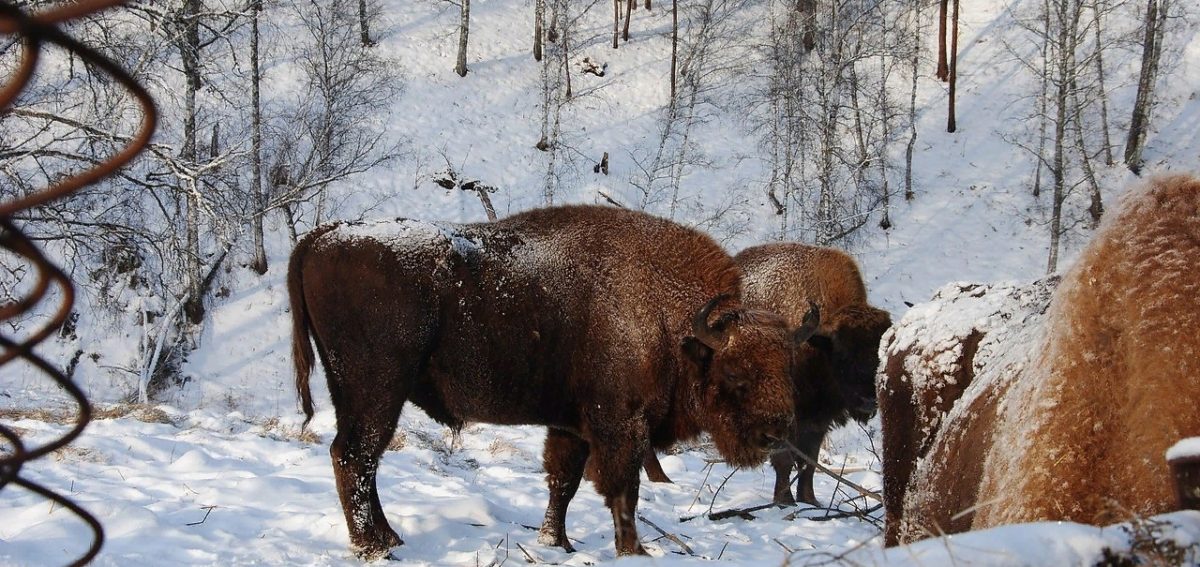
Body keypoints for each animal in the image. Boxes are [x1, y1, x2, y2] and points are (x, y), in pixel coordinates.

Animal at [285, 204, 820, 557]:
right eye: (735, 372)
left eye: (787, 369)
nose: (775, 432)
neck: (672, 319)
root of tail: (321, 236)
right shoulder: (619, 426)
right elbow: (622, 490)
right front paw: (633, 551)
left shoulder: (571, 426)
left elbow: (562, 483)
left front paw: (556, 543)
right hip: (376, 390)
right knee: (354, 457)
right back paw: (373, 547)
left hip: (360, 392)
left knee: (360, 461)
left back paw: (389, 538)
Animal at [638, 241, 892, 506]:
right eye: (842, 355)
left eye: (881, 355)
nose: (869, 401)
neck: (818, 344)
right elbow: (785, 460)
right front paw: (785, 501)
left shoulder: (816, 422)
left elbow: (809, 463)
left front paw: (809, 500)